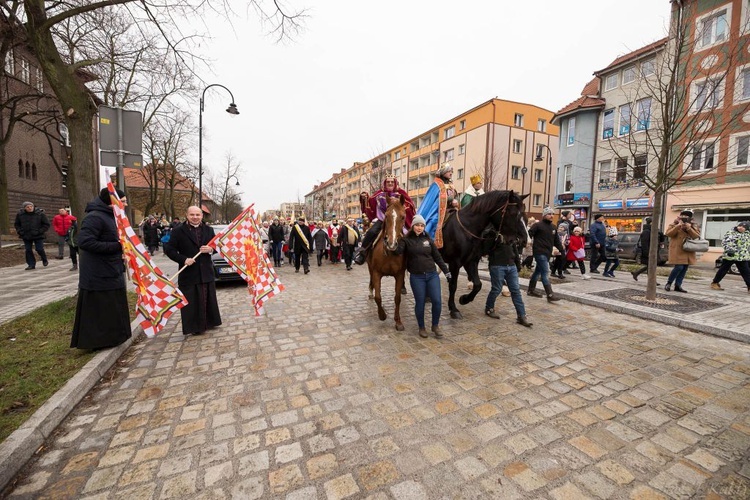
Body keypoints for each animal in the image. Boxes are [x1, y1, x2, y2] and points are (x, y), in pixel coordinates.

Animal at [368, 195, 408, 332]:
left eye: (403, 216)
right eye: (386, 215)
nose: (392, 243)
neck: (390, 253)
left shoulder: (400, 274)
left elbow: (397, 298)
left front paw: (398, 321)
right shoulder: (376, 273)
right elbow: (378, 297)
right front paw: (382, 315)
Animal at [444, 189, 532, 318]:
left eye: (524, 213)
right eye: (513, 213)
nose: (527, 241)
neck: (467, 229)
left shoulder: (471, 261)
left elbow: (478, 284)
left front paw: (464, 299)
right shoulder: (454, 263)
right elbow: (453, 285)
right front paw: (453, 309)